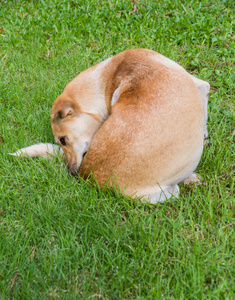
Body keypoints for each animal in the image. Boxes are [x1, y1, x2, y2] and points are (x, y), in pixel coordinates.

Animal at [10, 49, 209, 204]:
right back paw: (190, 179)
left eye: (63, 140)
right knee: (174, 191)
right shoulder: (199, 84)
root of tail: (91, 176)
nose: (71, 172)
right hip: (166, 189)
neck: (108, 78)